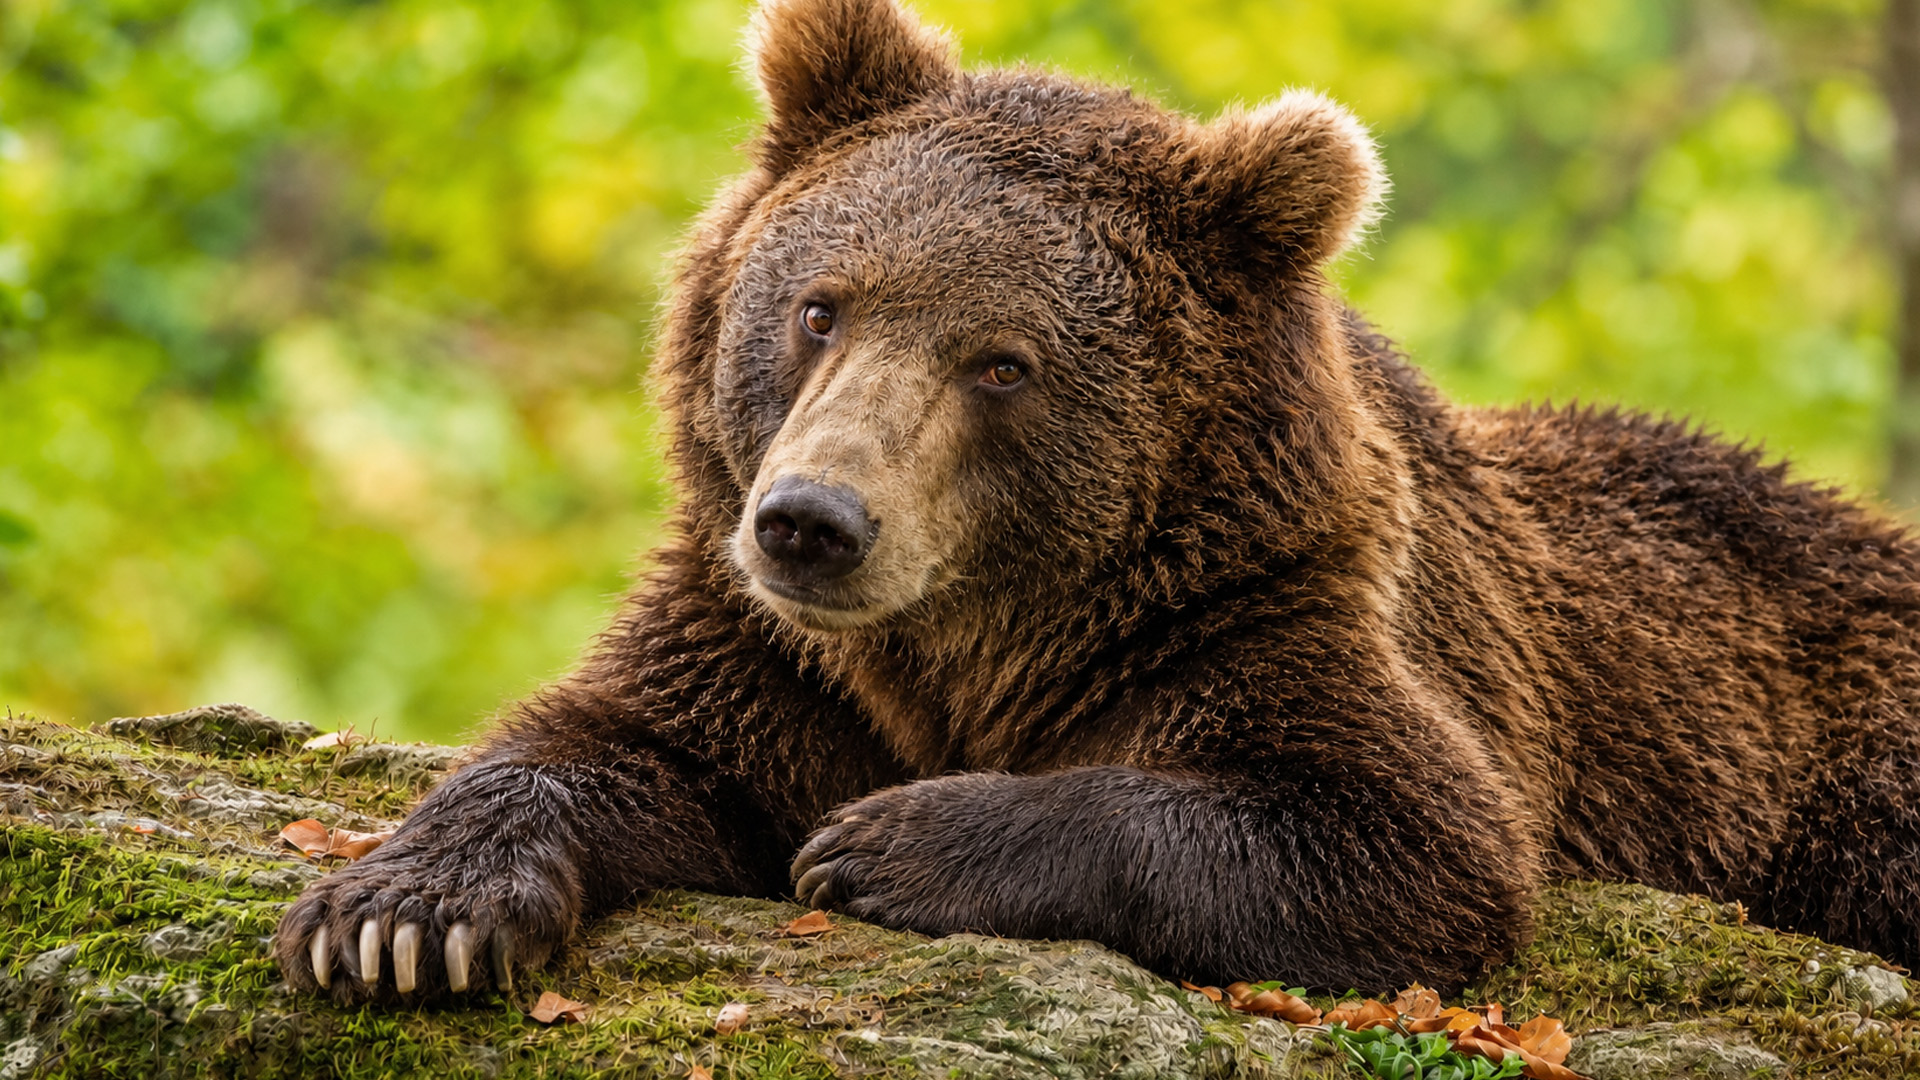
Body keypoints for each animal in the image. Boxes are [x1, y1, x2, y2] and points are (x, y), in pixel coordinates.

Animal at [275, 0, 1920, 1002]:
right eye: (819, 306)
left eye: (1000, 360)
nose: (813, 519)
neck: (977, 634)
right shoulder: (771, 651)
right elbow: (618, 741)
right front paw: (399, 918)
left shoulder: (1278, 619)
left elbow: (1393, 830)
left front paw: (889, 844)